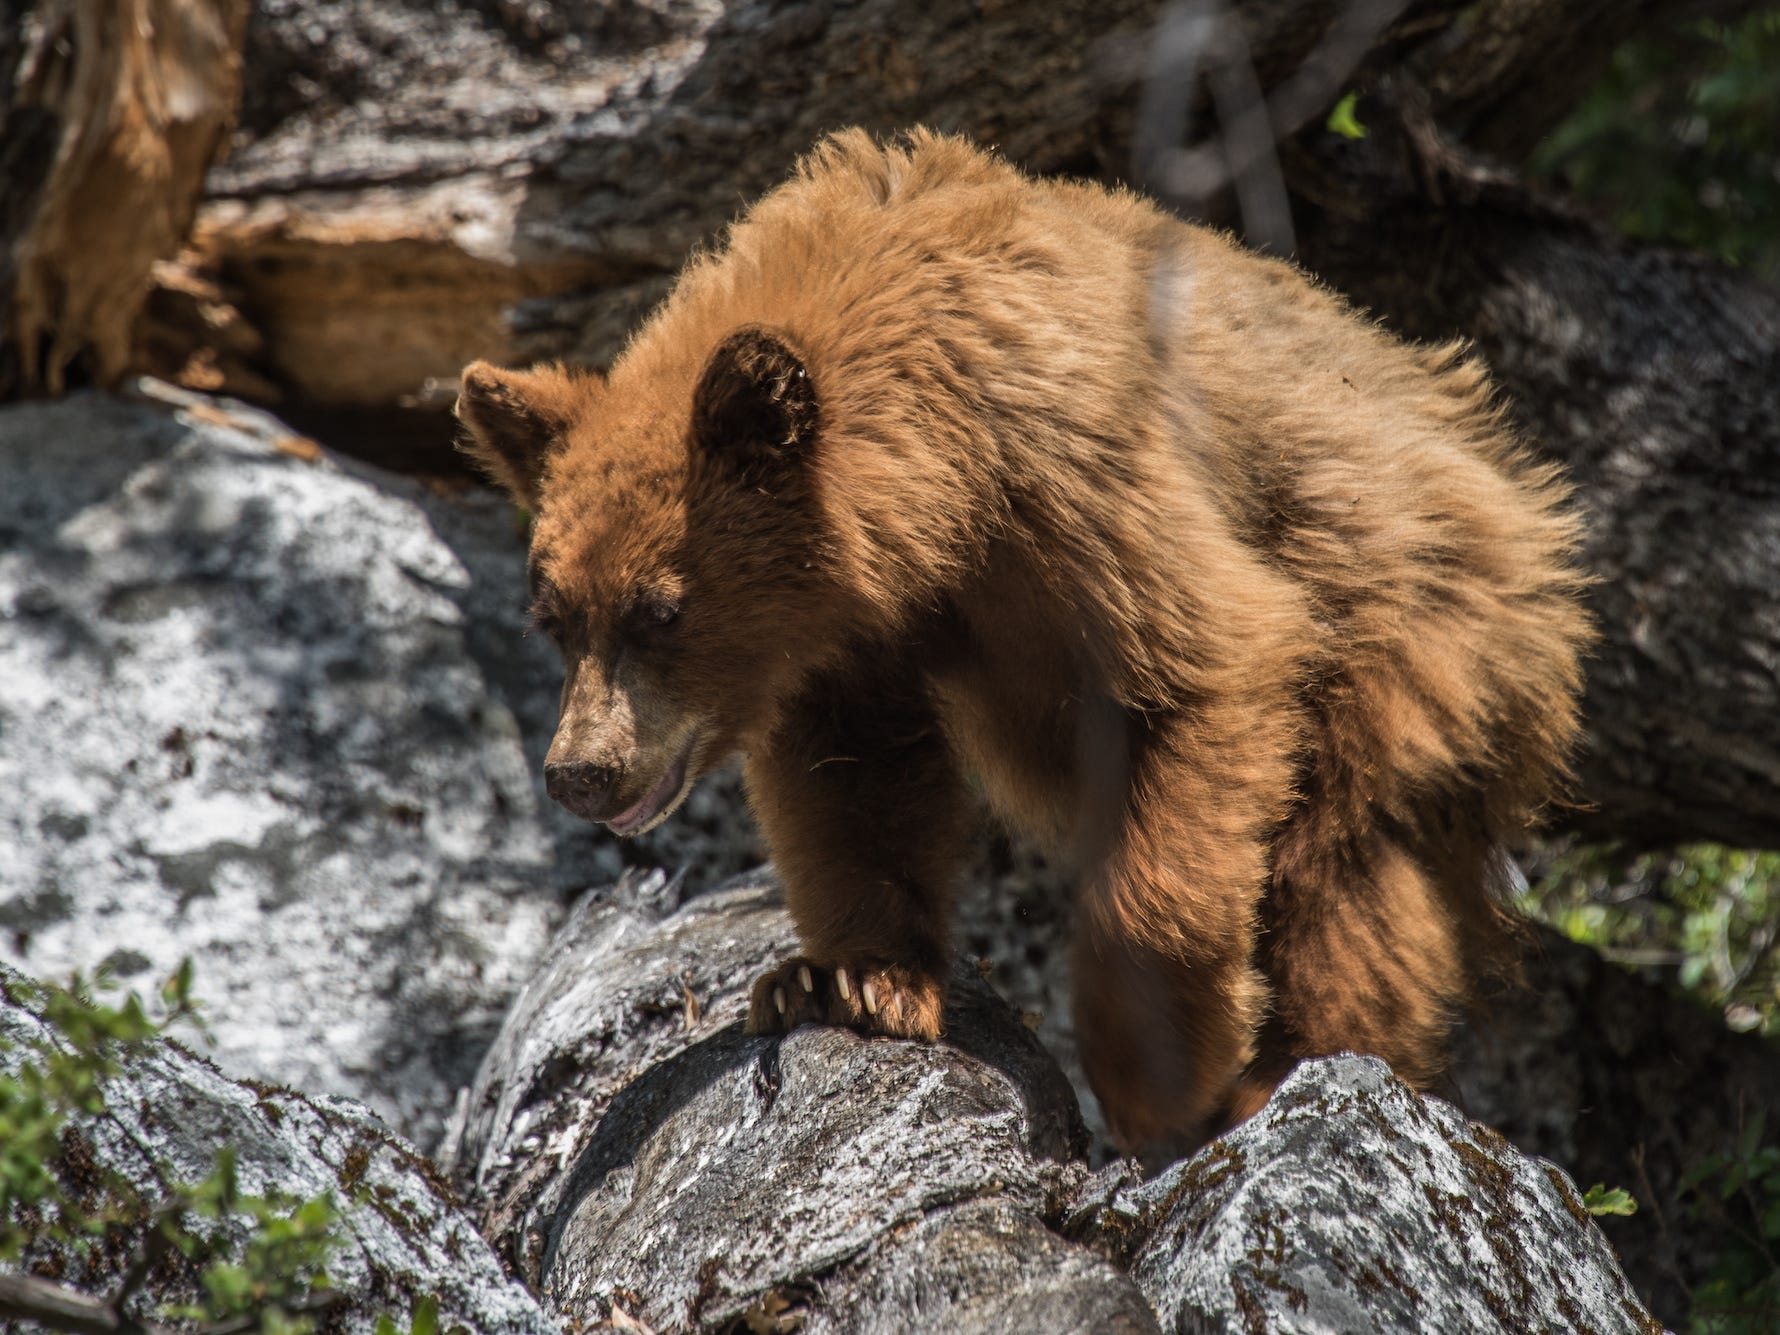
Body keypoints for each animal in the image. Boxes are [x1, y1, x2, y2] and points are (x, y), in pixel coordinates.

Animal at [452, 128, 1594, 1153]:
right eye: (554, 616)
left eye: (662, 608)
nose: (581, 771)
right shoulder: (848, 635)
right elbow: (853, 780)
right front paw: (848, 978)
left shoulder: (1075, 481)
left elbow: (1205, 672)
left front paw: (1155, 1073)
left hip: (1406, 610)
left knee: (1345, 861)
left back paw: (1296, 1071)